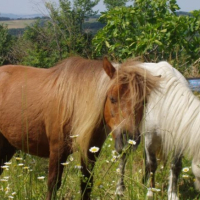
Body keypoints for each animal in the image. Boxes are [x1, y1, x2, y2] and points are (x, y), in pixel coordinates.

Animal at [0, 55, 159, 198]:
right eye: (112, 98)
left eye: (144, 102)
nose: (127, 141)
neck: (72, 105)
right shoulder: (57, 151)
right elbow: (53, 185)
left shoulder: (90, 151)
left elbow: (86, 185)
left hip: (7, 146)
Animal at [111, 60, 200, 200]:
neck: (165, 106)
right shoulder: (150, 140)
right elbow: (152, 164)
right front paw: (150, 192)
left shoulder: (178, 139)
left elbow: (175, 166)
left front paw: (172, 194)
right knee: (124, 156)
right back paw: (120, 189)